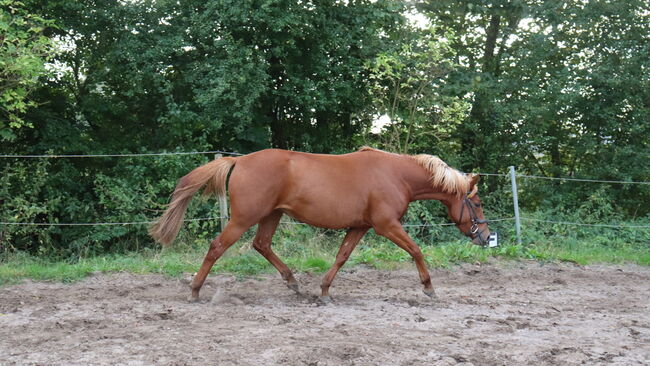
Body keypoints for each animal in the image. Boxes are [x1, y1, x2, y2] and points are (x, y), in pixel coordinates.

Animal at [148, 147, 492, 304]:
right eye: (476, 204)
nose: (486, 237)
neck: (396, 175)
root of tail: (240, 159)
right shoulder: (386, 225)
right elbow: (416, 250)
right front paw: (429, 288)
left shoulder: (360, 227)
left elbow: (342, 257)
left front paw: (324, 291)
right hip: (244, 217)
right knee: (217, 247)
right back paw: (194, 291)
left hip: (271, 216)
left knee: (262, 245)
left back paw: (292, 282)